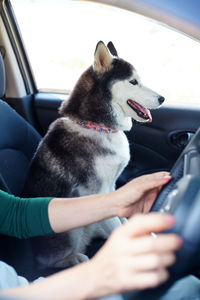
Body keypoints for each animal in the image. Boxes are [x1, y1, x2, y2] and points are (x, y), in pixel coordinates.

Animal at [22, 41, 164, 268]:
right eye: (133, 82)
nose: (162, 98)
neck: (97, 127)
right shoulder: (97, 193)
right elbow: (114, 221)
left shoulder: (112, 187)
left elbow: (119, 219)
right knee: (54, 260)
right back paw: (75, 258)